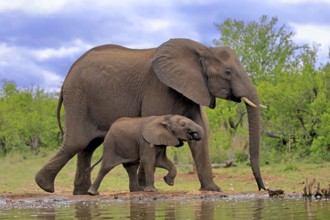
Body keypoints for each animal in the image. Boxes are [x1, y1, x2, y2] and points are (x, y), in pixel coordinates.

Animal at [35, 37, 266, 194]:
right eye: (228, 72)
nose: (264, 189)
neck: (202, 48)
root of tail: (67, 76)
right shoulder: (159, 88)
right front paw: (146, 187)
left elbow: (202, 135)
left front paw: (212, 190)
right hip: (79, 98)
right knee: (77, 142)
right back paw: (45, 186)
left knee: (87, 147)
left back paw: (82, 192)